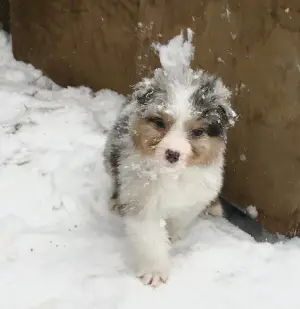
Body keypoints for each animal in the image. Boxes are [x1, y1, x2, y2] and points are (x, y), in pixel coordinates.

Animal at [103, 66, 237, 286]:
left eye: (197, 132)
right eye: (159, 123)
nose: (172, 154)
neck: (173, 175)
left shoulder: (193, 198)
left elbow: (180, 219)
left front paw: (172, 237)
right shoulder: (142, 201)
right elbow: (151, 239)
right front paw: (154, 272)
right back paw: (115, 202)